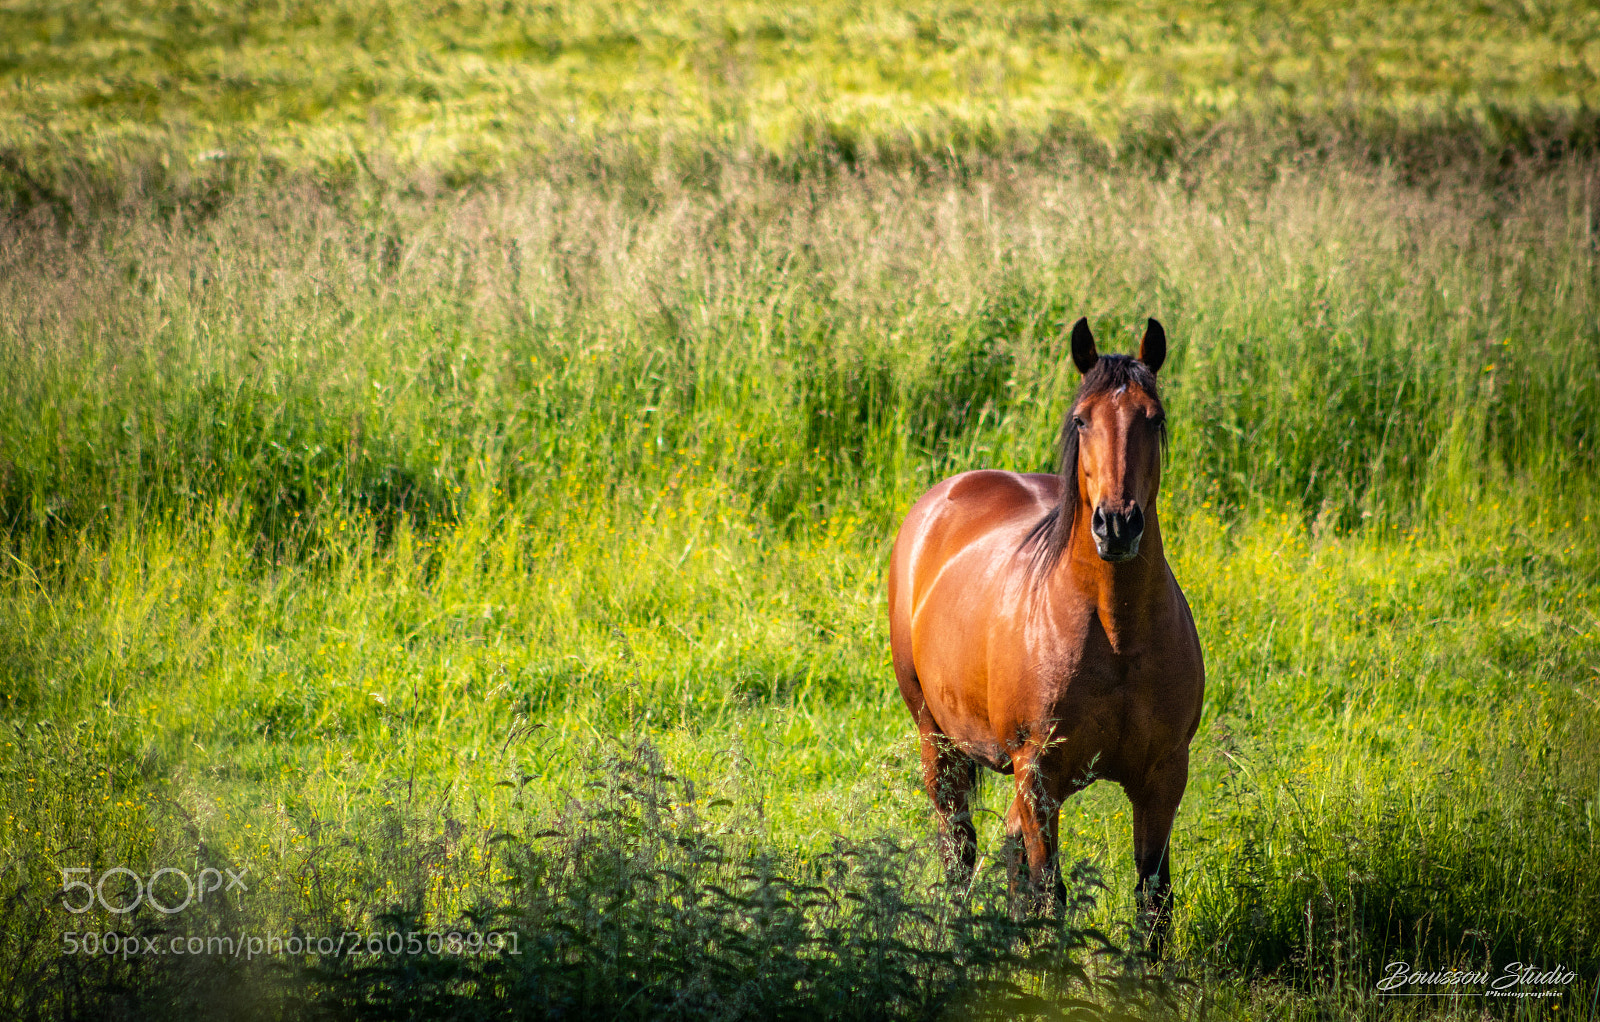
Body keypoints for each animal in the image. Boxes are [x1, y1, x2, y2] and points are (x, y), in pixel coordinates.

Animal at [887, 317, 1204, 953]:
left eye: (1154, 418)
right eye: (1082, 419)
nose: (1117, 524)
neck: (1117, 633)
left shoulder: (1163, 776)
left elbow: (1153, 901)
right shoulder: (1039, 774)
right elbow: (1049, 895)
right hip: (937, 740)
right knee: (960, 854)